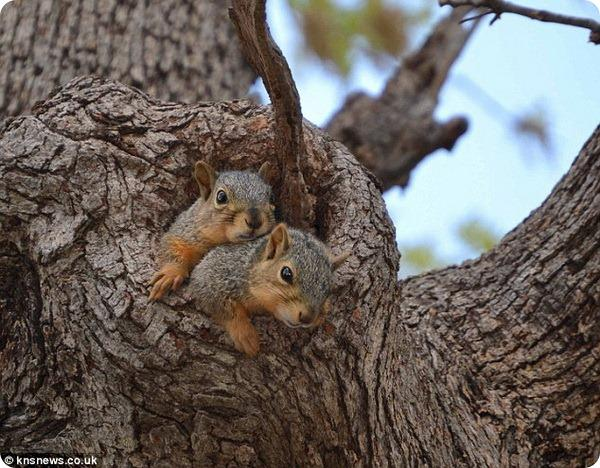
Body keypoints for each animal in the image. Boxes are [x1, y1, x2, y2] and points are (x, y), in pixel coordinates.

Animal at [149, 160, 276, 300]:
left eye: (271, 198)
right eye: (221, 197)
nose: (255, 221)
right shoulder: (185, 231)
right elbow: (172, 244)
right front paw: (170, 274)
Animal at [188, 223, 346, 354]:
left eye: (329, 289)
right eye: (286, 273)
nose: (307, 318)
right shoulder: (214, 273)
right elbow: (221, 304)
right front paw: (245, 335)